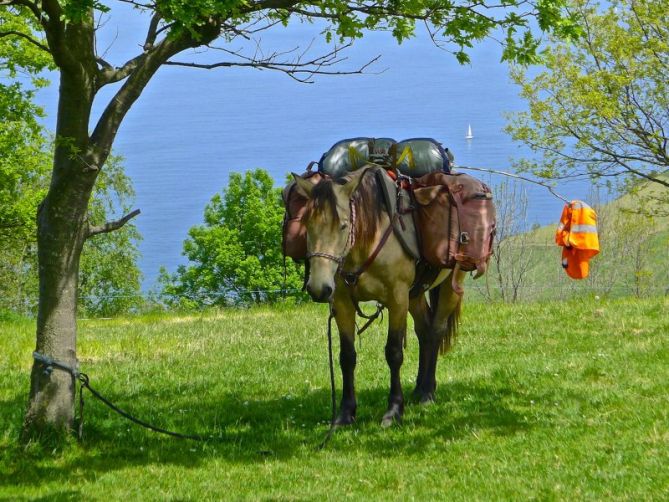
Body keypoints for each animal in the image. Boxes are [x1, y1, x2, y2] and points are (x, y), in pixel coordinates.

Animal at [294, 167, 464, 426]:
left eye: (343, 225)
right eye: (307, 224)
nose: (319, 288)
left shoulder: (397, 299)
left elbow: (394, 353)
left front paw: (393, 410)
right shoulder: (342, 303)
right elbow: (347, 356)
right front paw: (346, 413)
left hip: (451, 284)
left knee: (435, 330)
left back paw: (427, 392)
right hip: (415, 294)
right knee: (424, 330)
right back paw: (418, 389)